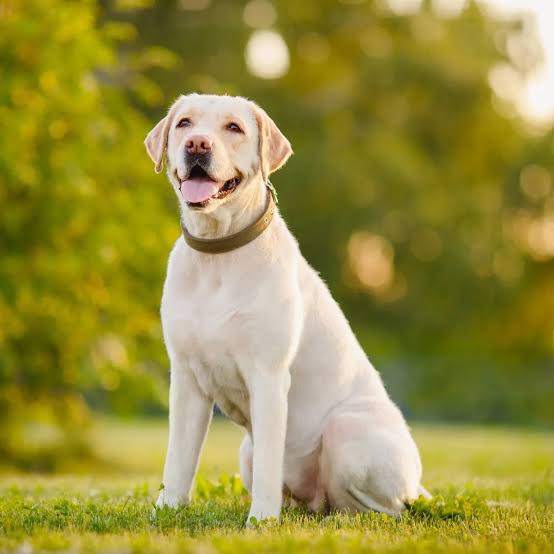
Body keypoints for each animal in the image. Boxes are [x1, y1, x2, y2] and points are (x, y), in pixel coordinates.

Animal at [143, 91, 426, 520]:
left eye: (234, 127)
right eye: (184, 124)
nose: (197, 145)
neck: (217, 253)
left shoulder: (268, 376)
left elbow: (268, 465)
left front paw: (261, 520)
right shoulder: (187, 379)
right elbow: (178, 459)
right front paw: (168, 509)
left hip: (347, 432)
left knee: (381, 507)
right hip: (246, 450)